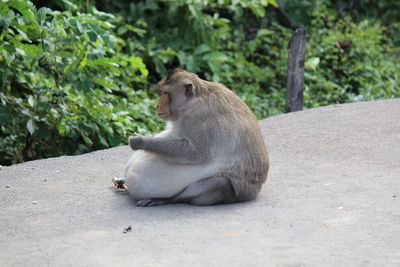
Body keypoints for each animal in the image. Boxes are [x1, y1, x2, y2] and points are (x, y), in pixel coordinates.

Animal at [122, 68, 268, 207]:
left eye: (165, 93)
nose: (157, 106)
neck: (193, 100)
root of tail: (253, 193)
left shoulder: (202, 119)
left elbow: (193, 153)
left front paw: (140, 141)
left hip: (234, 194)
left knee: (219, 182)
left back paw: (164, 199)